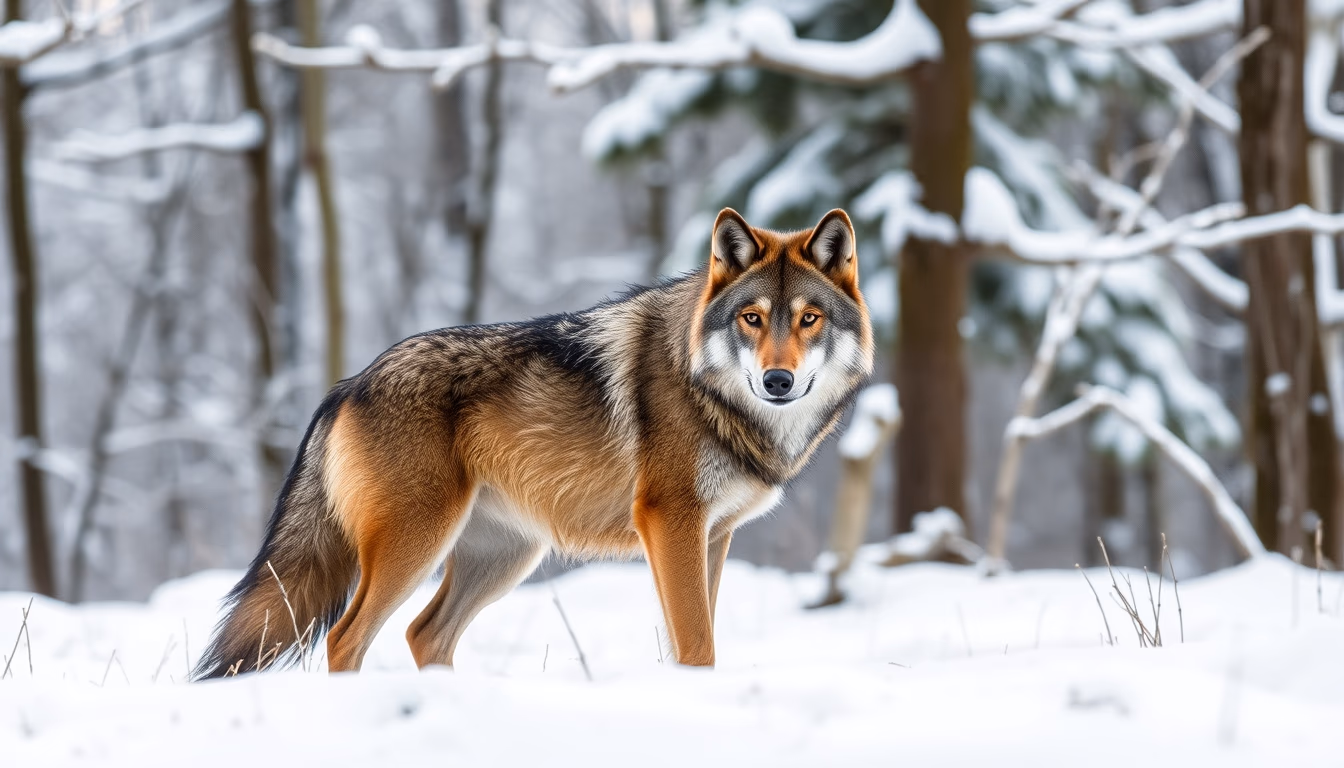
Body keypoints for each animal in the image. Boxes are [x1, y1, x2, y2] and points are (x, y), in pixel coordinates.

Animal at [193, 208, 873, 678]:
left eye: (809, 319)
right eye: (751, 319)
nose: (778, 380)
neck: (710, 391)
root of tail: (349, 383)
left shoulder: (712, 534)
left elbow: (689, 638)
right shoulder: (670, 520)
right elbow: (698, 642)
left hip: (504, 558)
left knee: (423, 634)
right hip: (418, 544)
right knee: (346, 637)